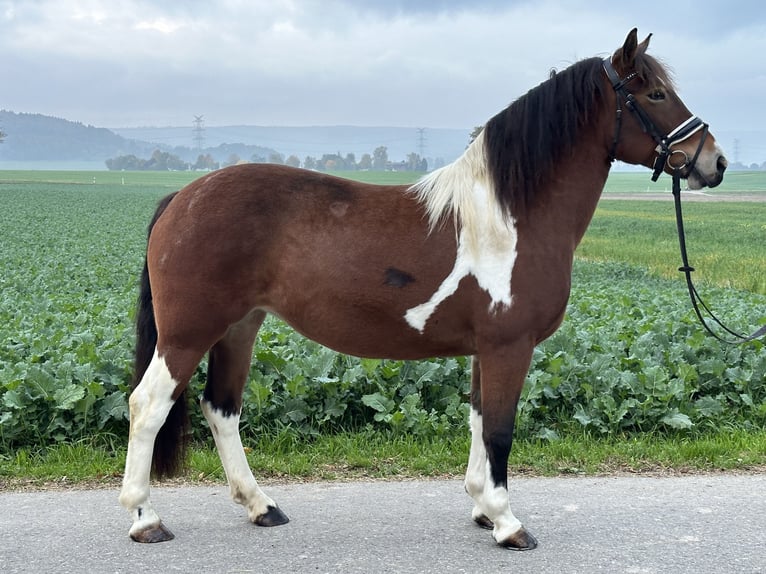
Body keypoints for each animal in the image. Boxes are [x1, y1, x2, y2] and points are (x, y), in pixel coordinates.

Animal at [118, 29, 728, 552]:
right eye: (655, 93)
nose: (714, 162)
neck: (511, 216)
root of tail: (182, 197)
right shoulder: (510, 346)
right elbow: (501, 430)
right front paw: (509, 524)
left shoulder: (488, 350)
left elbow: (480, 421)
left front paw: (483, 508)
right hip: (188, 333)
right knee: (148, 407)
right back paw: (146, 518)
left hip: (239, 327)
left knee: (221, 409)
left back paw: (260, 506)